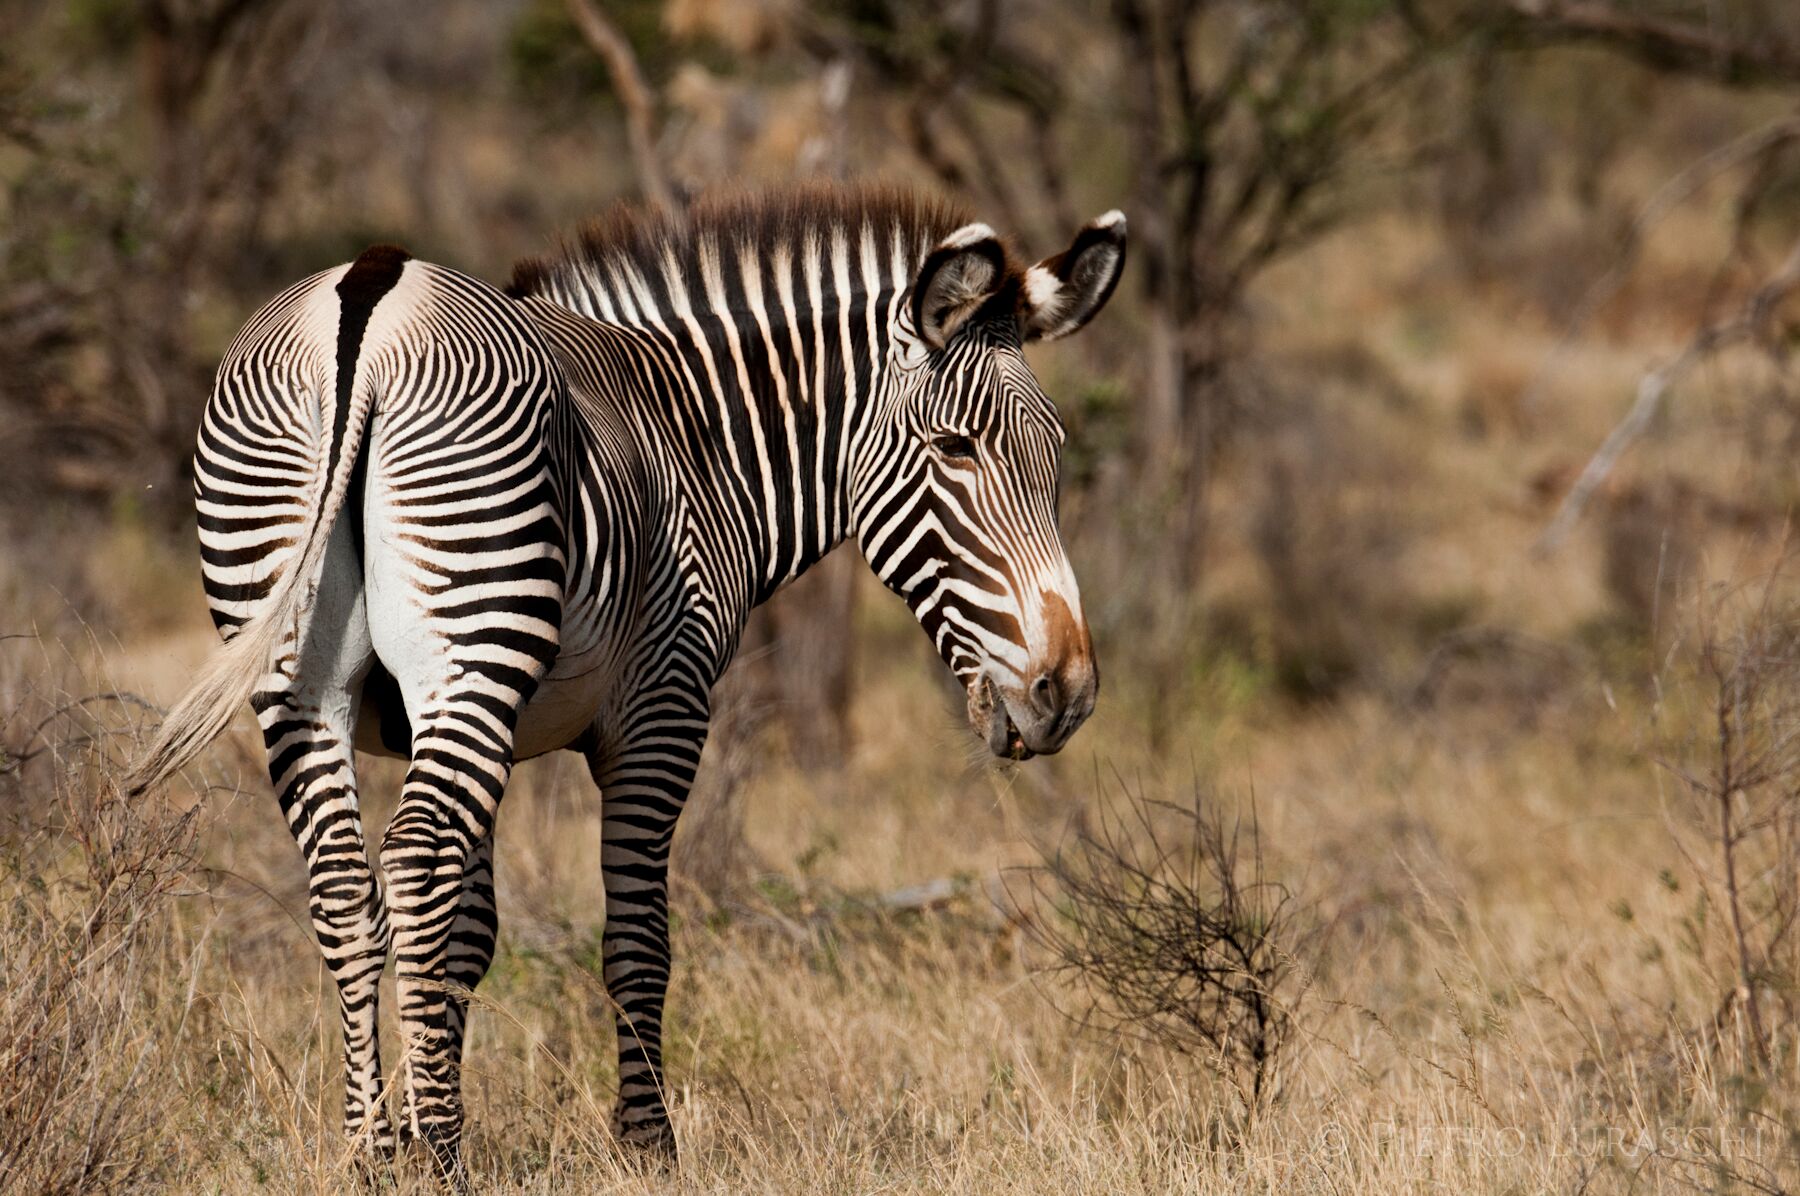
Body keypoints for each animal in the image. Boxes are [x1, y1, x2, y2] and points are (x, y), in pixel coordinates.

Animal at [130, 181, 1123, 1174]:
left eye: (1057, 452)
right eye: (955, 449)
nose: (1067, 692)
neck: (695, 441)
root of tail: (368, 299)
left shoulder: (467, 730)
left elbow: (469, 936)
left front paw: (420, 1113)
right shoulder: (662, 711)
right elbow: (639, 940)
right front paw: (645, 1146)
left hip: (306, 676)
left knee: (348, 886)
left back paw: (371, 1149)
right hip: (472, 648)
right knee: (410, 863)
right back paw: (439, 1159)